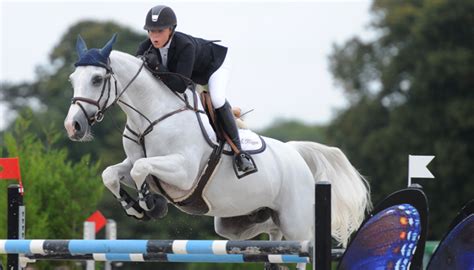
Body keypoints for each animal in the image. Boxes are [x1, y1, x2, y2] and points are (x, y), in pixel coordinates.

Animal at [65, 35, 372, 270]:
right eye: (72, 79)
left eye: (97, 79)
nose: (73, 126)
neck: (150, 117)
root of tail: (294, 152)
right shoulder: (133, 163)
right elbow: (112, 174)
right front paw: (135, 208)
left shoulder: (183, 172)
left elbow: (143, 169)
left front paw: (151, 204)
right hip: (238, 223)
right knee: (271, 240)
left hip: (296, 222)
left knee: (300, 251)